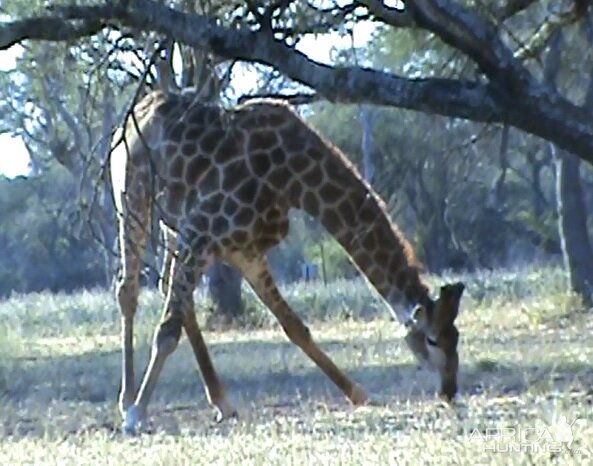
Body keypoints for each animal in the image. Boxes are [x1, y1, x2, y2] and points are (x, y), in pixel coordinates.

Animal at [110, 90, 462, 434]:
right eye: (432, 339)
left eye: (456, 337)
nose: (449, 391)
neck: (295, 181)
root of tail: (135, 113)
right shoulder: (202, 232)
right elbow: (167, 330)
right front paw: (137, 415)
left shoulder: (244, 250)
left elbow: (295, 326)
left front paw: (358, 393)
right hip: (132, 199)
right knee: (128, 290)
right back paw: (127, 401)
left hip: (172, 225)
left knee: (172, 294)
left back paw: (222, 401)